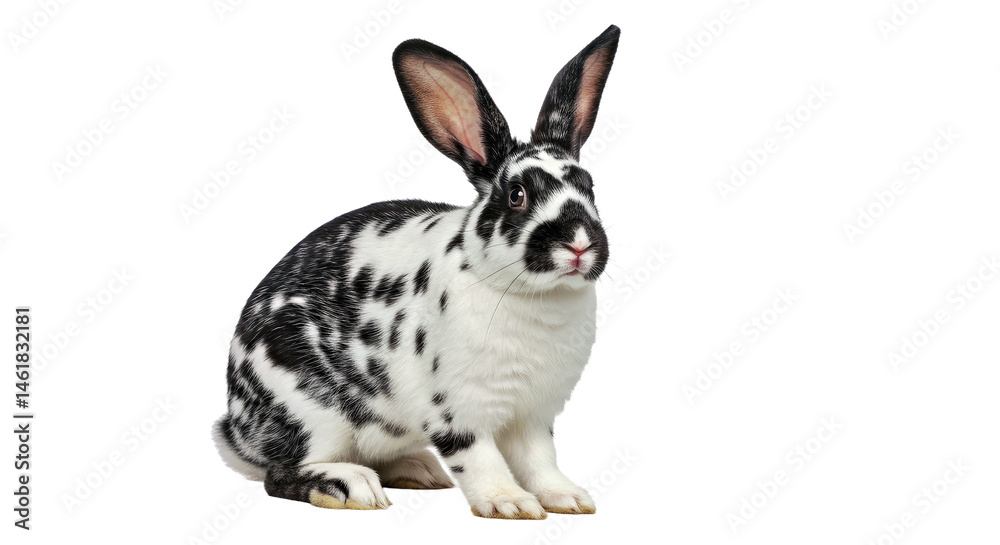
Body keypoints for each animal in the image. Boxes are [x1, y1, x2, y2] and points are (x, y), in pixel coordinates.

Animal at [213, 24, 620, 519]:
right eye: (517, 195)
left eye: (589, 187)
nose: (579, 243)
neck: (534, 298)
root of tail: (238, 429)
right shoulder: (458, 411)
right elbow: (481, 460)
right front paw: (508, 504)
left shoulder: (534, 415)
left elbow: (539, 460)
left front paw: (568, 498)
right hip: (312, 414)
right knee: (283, 472)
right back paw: (351, 488)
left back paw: (418, 470)